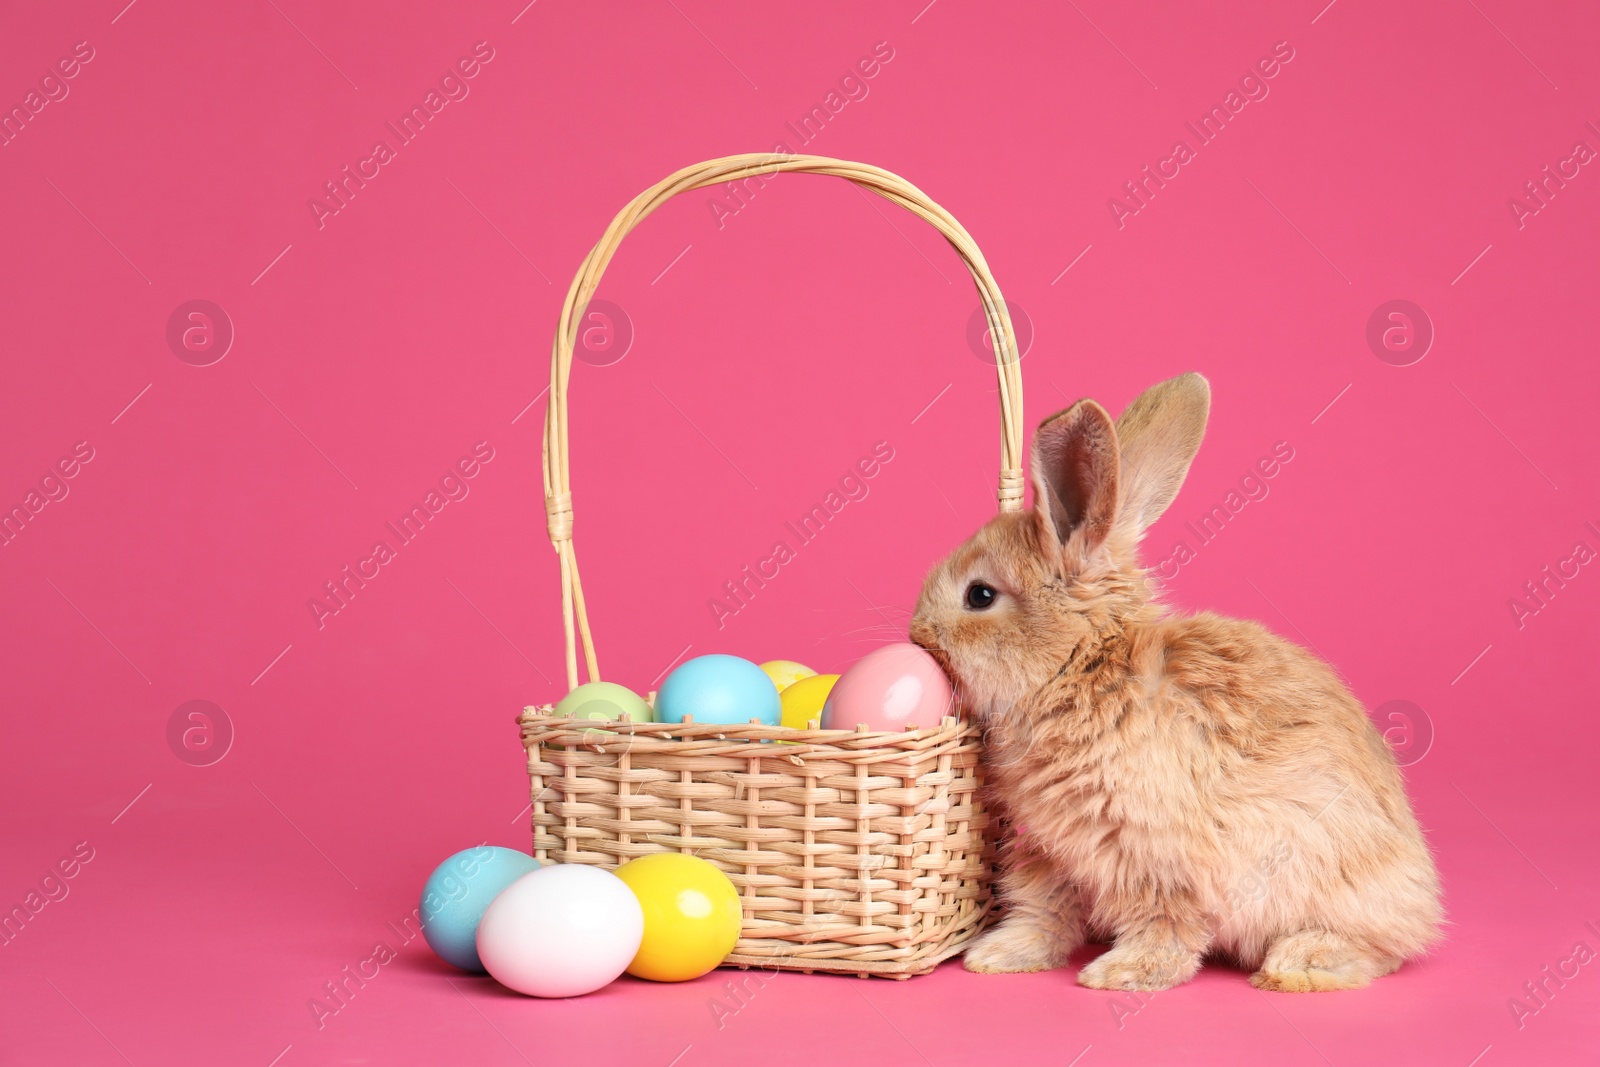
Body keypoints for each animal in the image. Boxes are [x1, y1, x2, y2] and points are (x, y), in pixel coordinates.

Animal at [908, 375, 1446, 991]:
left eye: (979, 595)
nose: (916, 632)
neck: (1081, 667)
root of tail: (1424, 900)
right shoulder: (1053, 849)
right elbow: (1045, 910)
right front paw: (1000, 955)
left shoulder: (1151, 854)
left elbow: (1163, 924)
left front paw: (1121, 973)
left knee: (1382, 949)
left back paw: (1297, 965)